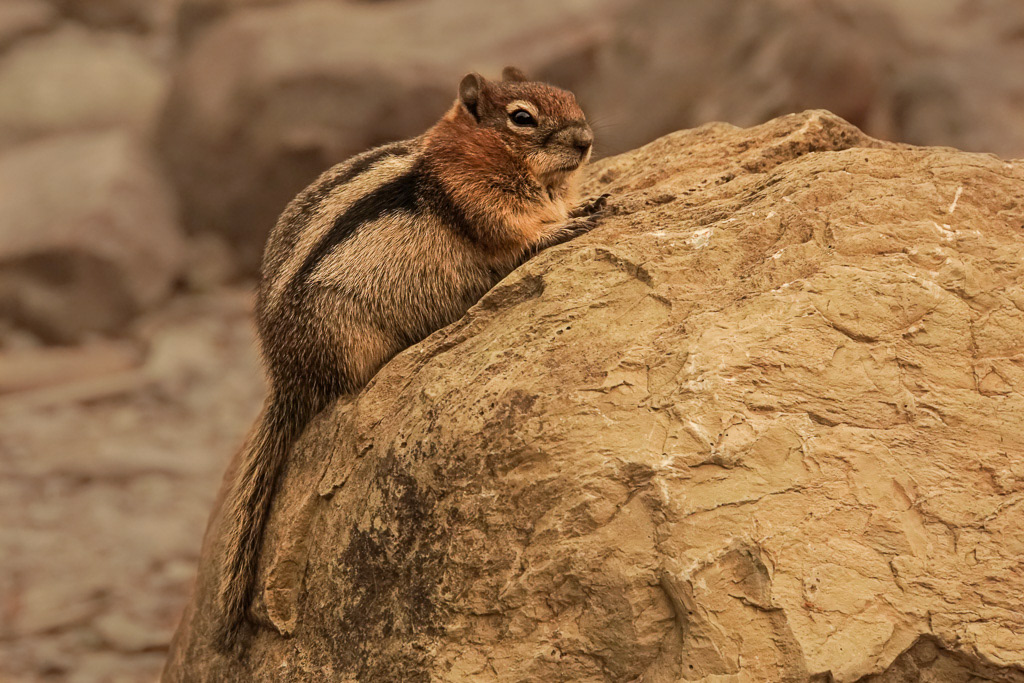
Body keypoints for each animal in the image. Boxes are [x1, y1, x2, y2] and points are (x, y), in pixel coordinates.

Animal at [215, 66, 608, 648]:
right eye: (522, 118)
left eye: (571, 96)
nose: (585, 141)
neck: (471, 155)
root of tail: (285, 375)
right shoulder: (485, 207)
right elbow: (521, 236)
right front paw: (567, 225)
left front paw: (584, 204)